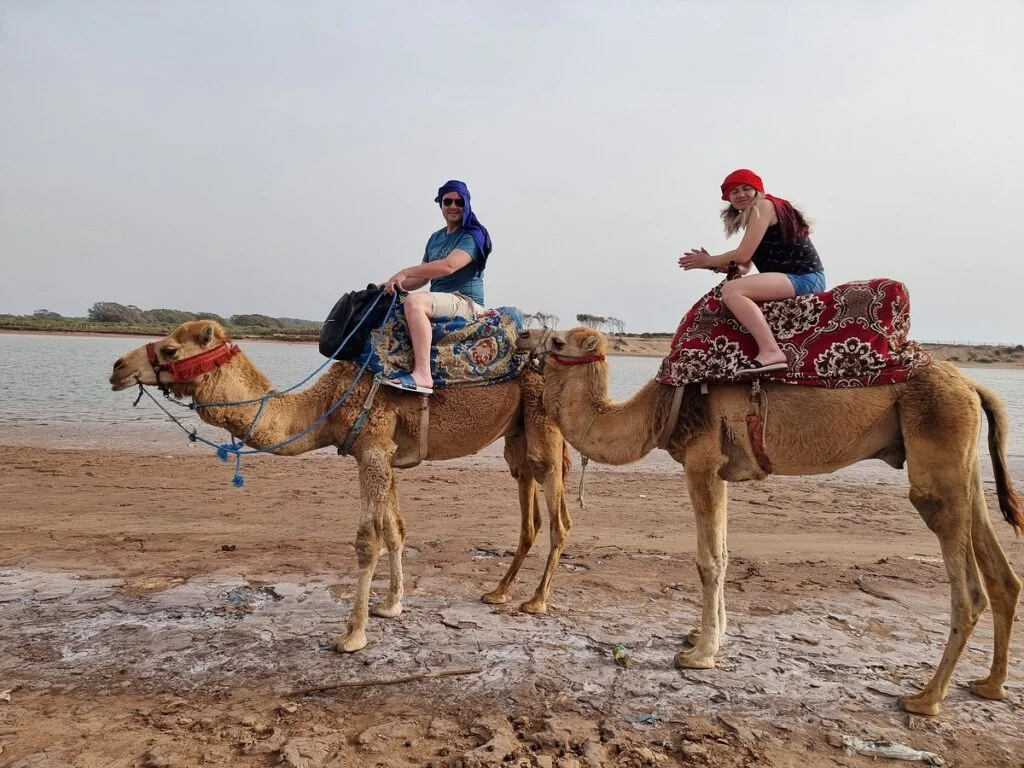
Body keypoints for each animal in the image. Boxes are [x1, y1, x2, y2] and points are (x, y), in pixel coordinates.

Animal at [109, 320, 571, 652]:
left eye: (170, 349)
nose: (117, 368)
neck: (325, 404)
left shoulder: (372, 449)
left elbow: (368, 541)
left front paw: (352, 635)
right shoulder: (382, 455)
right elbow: (395, 531)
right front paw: (391, 605)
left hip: (544, 426)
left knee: (559, 520)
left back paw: (537, 601)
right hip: (517, 439)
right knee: (528, 513)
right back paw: (498, 592)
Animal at [518, 326, 1023, 716]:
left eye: (558, 339)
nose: (522, 336)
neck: (659, 409)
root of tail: (972, 385)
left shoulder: (702, 462)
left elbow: (707, 561)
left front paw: (699, 654)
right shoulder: (720, 468)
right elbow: (722, 554)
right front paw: (707, 635)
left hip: (936, 456)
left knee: (967, 587)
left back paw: (925, 698)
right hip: (961, 462)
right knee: (1001, 572)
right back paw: (990, 685)